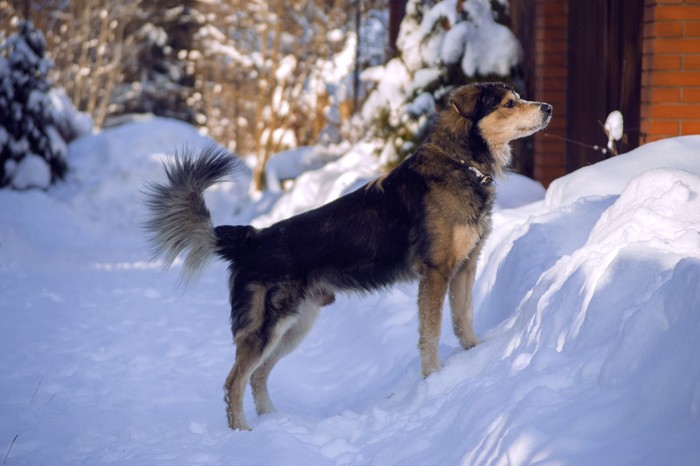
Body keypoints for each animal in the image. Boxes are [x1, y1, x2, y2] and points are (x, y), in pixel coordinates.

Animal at [146, 82, 552, 432]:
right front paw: (435, 379)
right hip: (267, 327)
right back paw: (243, 433)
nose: (548, 107)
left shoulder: (466, 266)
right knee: (233, 382)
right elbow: (431, 334)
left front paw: (474, 356)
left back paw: (274, 422)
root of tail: (252, 238)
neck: (461, 163)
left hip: (296, 325)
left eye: (519, 98)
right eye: (509, 104)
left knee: (258, 375)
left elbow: (464, 321)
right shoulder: (435, 273)